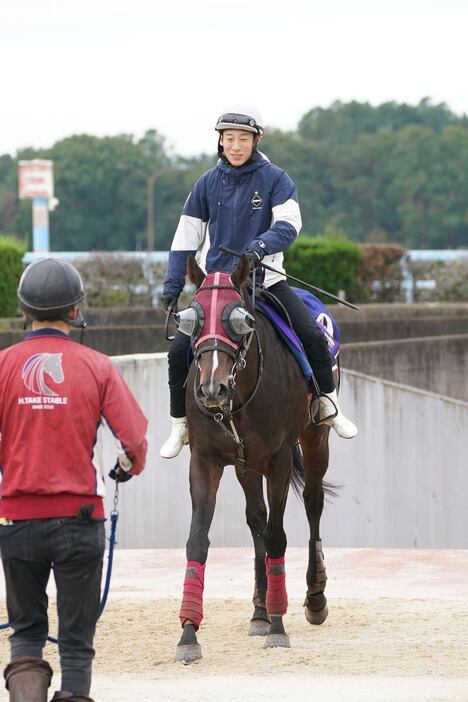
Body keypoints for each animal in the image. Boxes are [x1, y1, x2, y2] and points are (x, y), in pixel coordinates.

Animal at [174, 256, 330, 664]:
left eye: (240, 319)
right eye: (190, 319)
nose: (211, 389)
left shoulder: (278, 460)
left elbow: (277, 536)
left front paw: (278, 626)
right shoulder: (205, 460)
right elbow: (197, 539)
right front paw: (188, 633)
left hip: (314, 439)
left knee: (313, 502)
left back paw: (314, 597)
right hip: (246, 464)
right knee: (256, 518)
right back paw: (259, 610)